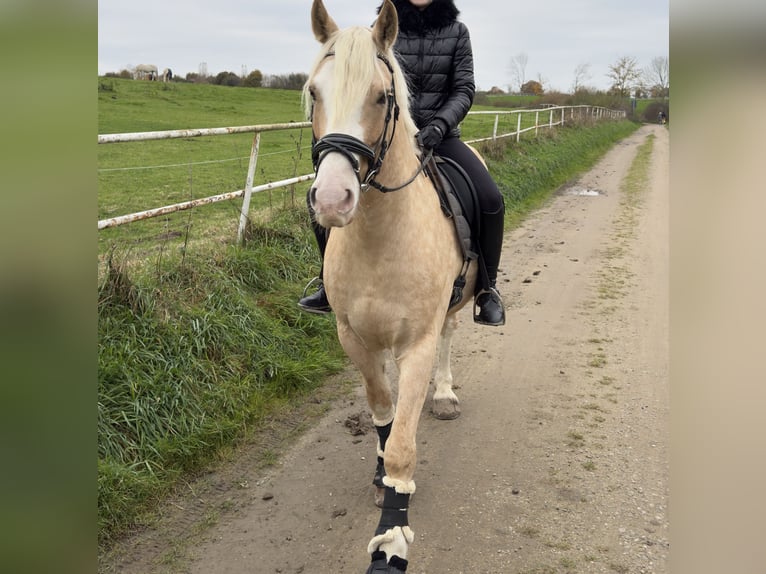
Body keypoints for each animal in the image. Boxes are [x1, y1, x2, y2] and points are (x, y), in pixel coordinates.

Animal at [306, 1, 480, 572]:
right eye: (313, 92)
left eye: (382, 97)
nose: (332, 199)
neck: (380, 237)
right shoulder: (354, 337)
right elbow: (383, 410)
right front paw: (383, 477)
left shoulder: (418, 343)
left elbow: (404, 440)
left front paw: (391, 540)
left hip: (457, 305)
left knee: (451, 334)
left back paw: (443, 393)